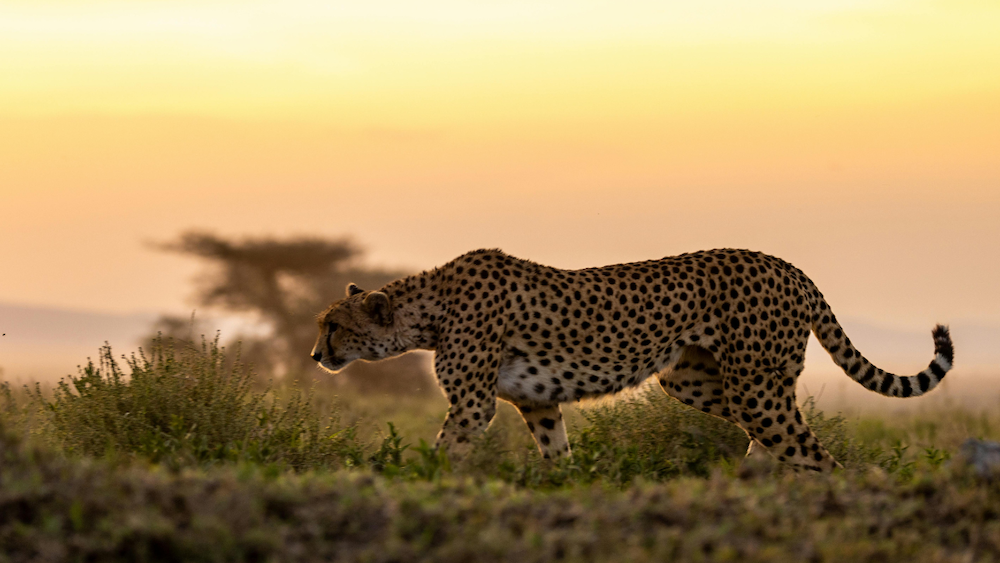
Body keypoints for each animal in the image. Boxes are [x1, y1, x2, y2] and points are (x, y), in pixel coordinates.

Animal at [312, 248, 954, 472]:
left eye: (334, 326)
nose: (316, 354)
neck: (429, 310)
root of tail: (787, 264)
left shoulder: (472, 405)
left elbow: (443, 452)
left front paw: (410, 482)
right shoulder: (536, 403)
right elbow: (558, 456)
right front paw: (567, 491)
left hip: (751, 385)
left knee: (813, 453)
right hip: (695, 380)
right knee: (781, 437)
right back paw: (751, 484)